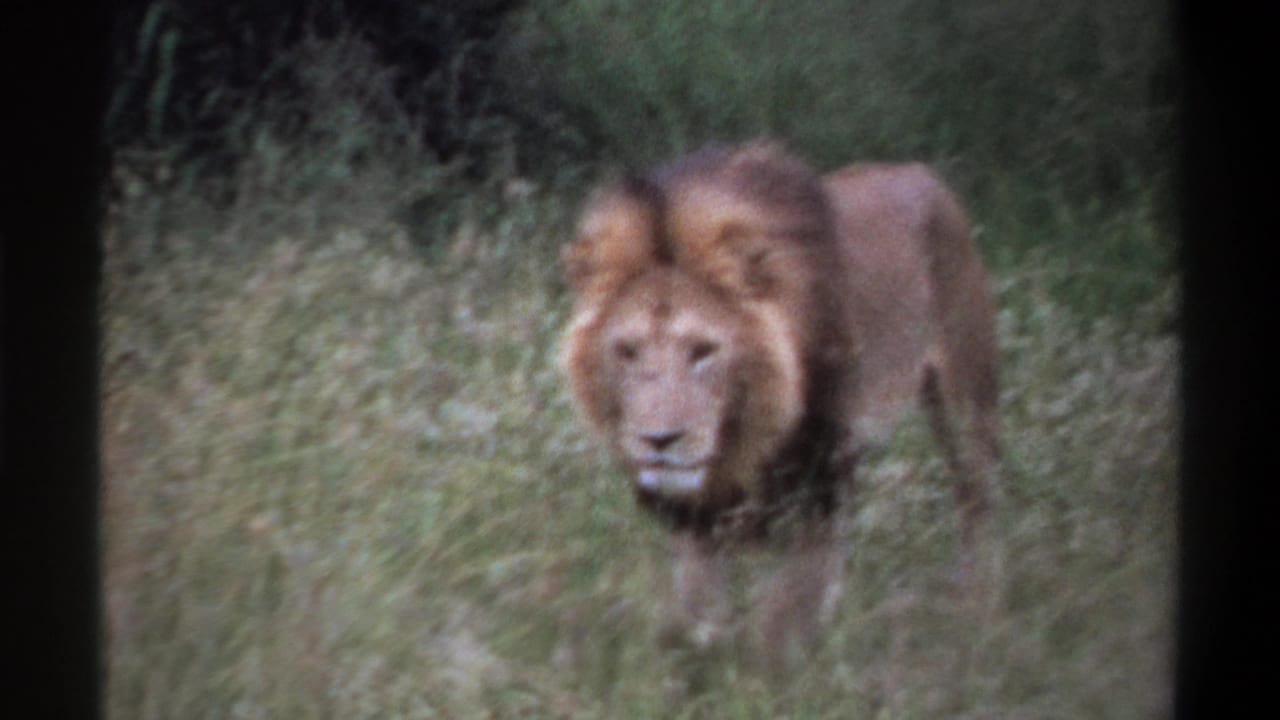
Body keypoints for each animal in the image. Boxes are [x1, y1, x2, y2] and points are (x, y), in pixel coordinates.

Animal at [560, 142, 1000, 664]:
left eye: (703, 351)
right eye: (627, 350)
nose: (659, 440)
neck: (743, 433)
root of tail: (921, 172)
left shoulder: (822, 481)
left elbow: (786, 617)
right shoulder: (694, 516)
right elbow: (705, 611)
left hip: (967, 400)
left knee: (978, 503)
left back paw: (979, 604)